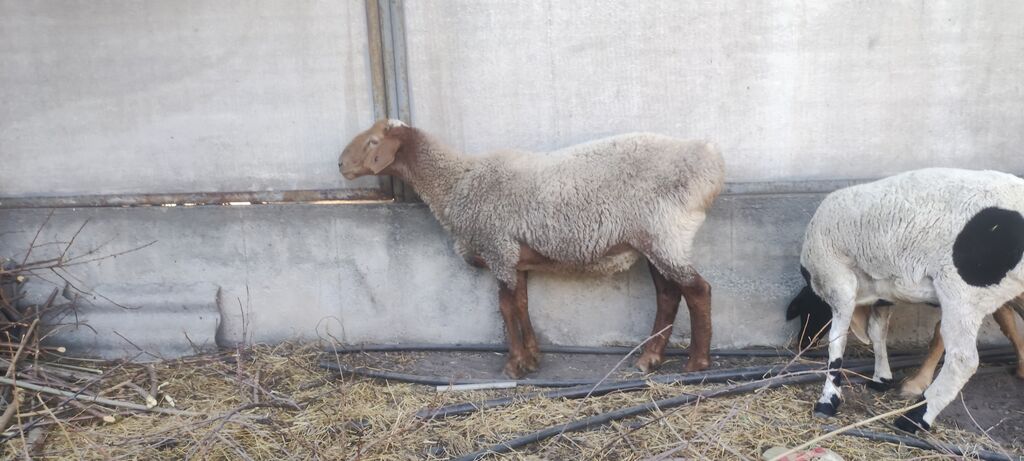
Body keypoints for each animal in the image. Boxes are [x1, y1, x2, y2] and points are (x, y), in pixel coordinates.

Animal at [338, 119, 725, 378]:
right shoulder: (515, 258)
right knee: (668, 295)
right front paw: (534, 357)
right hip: (654, 241)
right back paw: (649, 359)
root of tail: (709, 162)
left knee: (697, 290)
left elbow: (505, 308)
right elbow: (522, 303)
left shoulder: (498, 247)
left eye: (373, 141)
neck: (457, 182)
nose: (340, 164)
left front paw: (514, 365)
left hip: (665, 234)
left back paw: (697, 363)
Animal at [795, 167, 1024, 433]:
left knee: (963, 360)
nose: (801, 344)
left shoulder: (838, 282)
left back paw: (915, 418)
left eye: (803, 312)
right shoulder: (883, 292)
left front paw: (827, 401)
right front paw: (881, 378)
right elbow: (877, 332)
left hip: (962, 291)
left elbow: (837, 341)